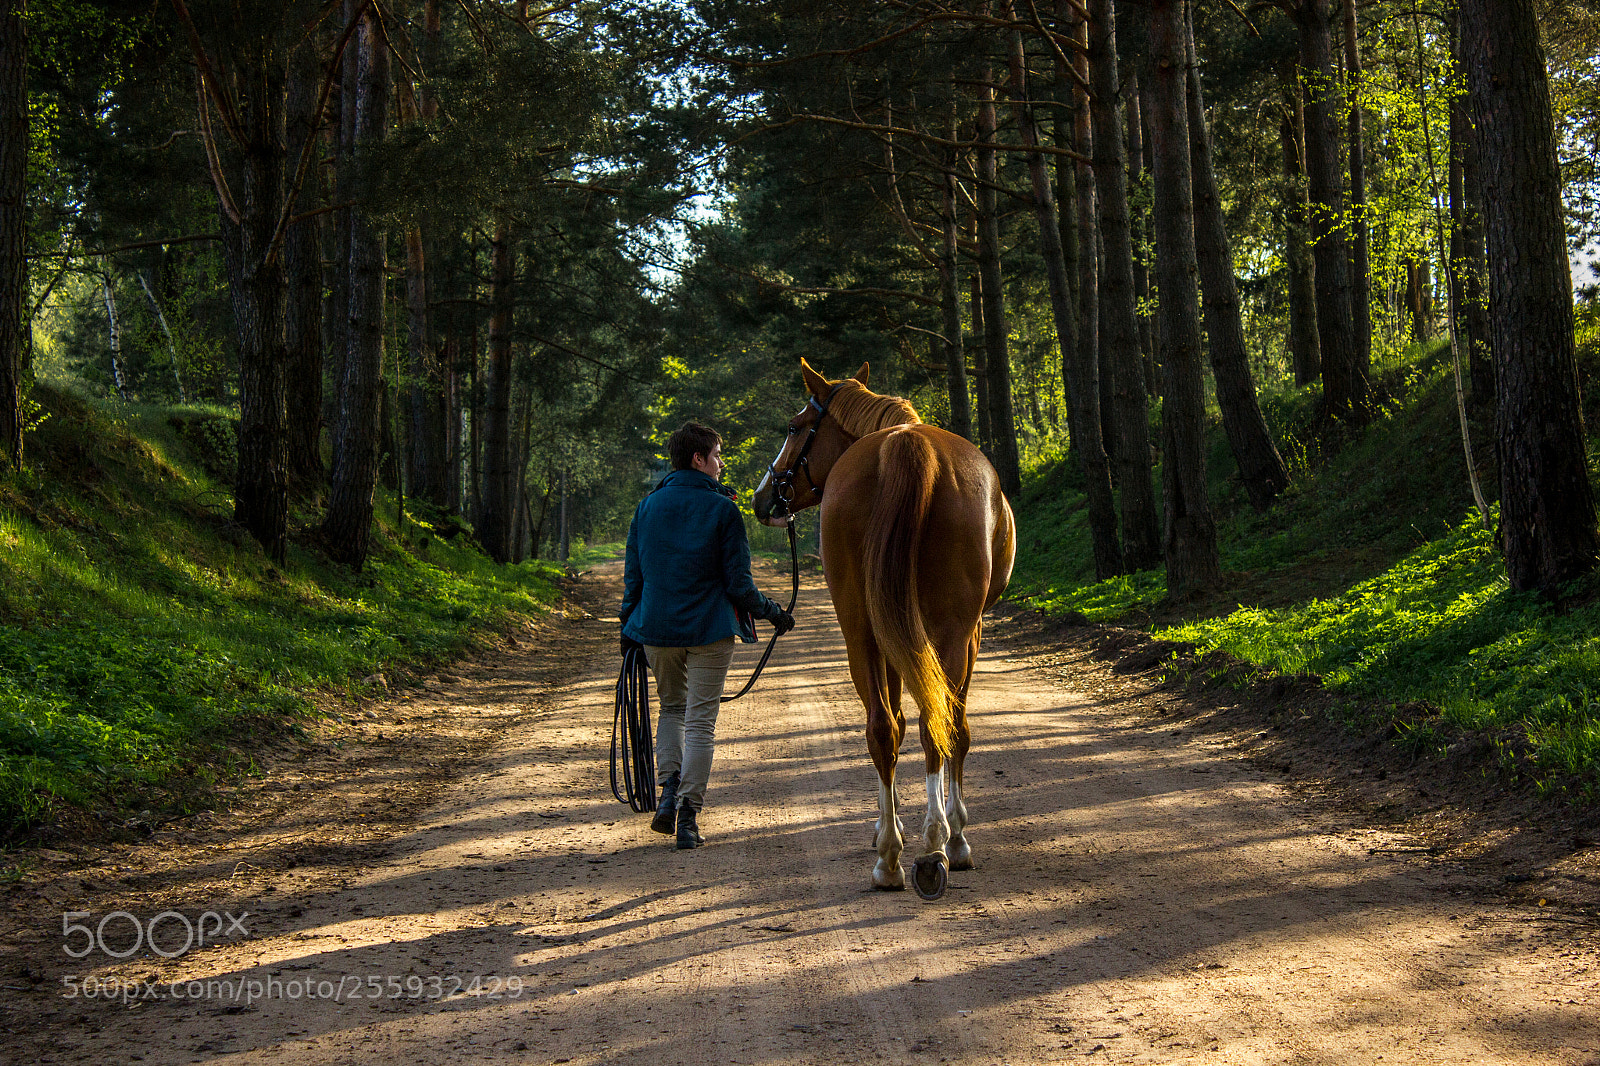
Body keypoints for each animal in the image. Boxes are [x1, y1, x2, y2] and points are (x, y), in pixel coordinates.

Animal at [752, 359, 1015, 899]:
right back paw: (932, 846)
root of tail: (906, 447)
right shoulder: (967, 633)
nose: (764, 496)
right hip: (948, 632)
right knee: (934, 723)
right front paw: (953, 835)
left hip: (864, 627)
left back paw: (897, 855)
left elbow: (900, 721)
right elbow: (956, 727)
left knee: (886, 728)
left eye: (794, 427)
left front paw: (893, 828)